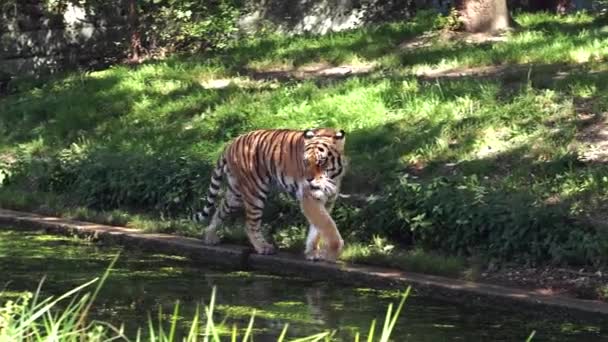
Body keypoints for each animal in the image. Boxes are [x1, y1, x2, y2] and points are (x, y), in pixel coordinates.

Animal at [191, 128, 346, 262]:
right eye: (306, 161)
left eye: (321, 161)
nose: (308, 179)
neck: (332, 177)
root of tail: (231, 144)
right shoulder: (310, 197)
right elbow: (327, 225)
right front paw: (332, 253)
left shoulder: (327, 200)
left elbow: (318, 229)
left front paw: (312, 252)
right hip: (255, 192)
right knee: (250, 224)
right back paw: (263, 247)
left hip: (235, 195)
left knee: (219, 210)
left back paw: (210, 237)